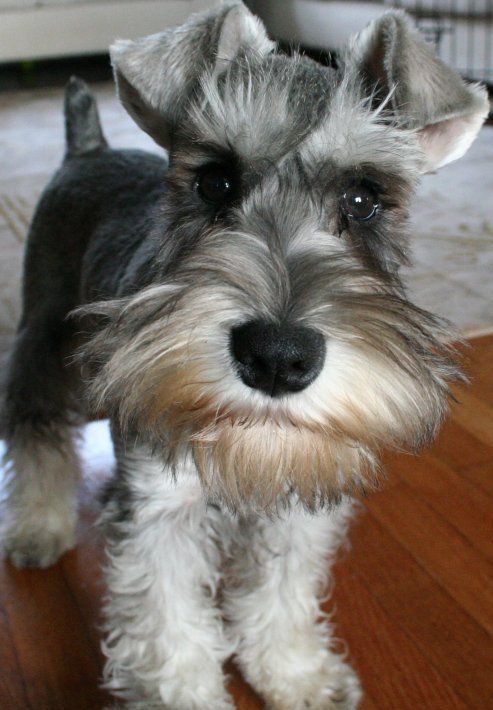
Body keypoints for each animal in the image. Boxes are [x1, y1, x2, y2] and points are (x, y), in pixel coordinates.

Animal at [2, 2, 488, 708]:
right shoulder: (159, 511)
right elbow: (169, 627)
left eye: (364, 198)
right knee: (35, 430)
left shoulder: (298, 502)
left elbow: (281, 594)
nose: (277, 358)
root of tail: (87, 149)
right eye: (214, 182)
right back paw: (37, 527)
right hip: (41, 341)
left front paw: (297, 672)